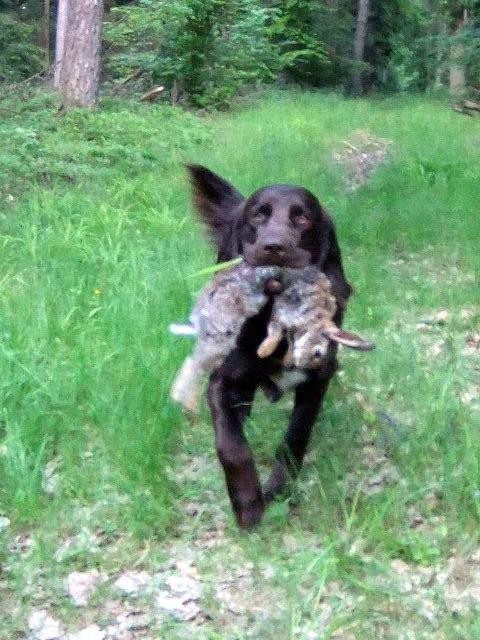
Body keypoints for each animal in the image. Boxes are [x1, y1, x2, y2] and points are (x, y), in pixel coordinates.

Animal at [188, 165, 356, 528]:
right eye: (258, 215)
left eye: (302, 217)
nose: (273, 247)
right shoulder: (222, 380)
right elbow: (231, 445)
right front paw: (248, 505)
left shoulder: (317, 379)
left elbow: (295, 437)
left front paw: (278, 488)